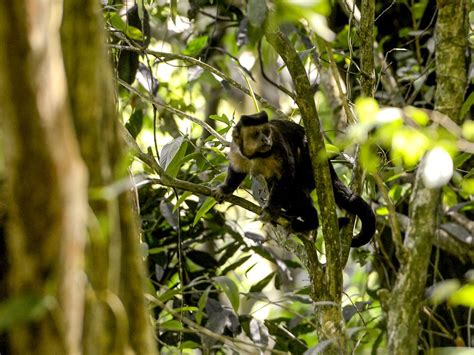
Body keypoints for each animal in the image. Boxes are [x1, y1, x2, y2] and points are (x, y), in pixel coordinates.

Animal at [213, 111, 376, 248]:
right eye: (255, 134)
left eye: (266, 132)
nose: (265, 139)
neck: (256, 155)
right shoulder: (236, 149)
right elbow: (237, 170)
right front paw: (225, 189)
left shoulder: (277, 145)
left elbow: (287, 173)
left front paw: (271, 211)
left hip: (309, 168)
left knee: (295, 191)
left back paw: (310, 222)